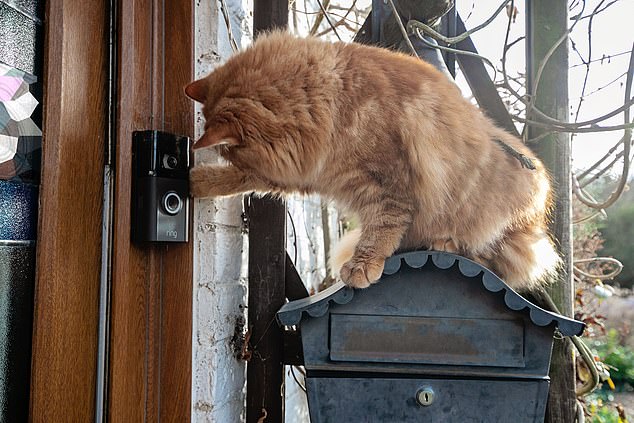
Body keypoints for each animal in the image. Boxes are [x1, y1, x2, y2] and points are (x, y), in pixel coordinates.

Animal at [185, 32, 556, 292]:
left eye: (230, 152)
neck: (330, 102)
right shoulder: (301, 170)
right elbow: (236, 180)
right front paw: (196, 182)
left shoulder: (390, 185)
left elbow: (380, 230)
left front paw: (361, 266)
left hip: (506, 226)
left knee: (495, 258)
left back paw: (445, 242)